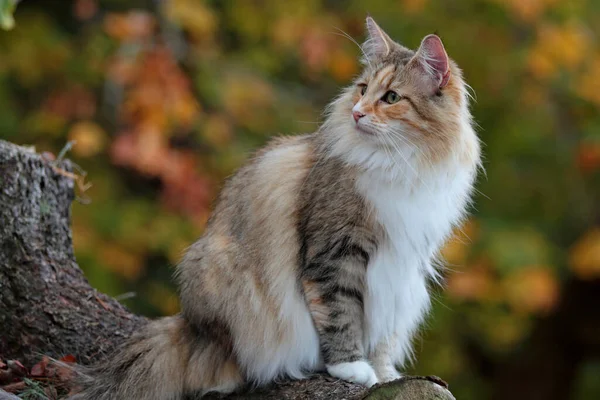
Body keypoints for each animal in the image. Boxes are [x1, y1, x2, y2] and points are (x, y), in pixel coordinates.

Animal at [69, 16, 482, 400]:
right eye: (363, 90)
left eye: (392, 98)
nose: (357, 113)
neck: (403, 163)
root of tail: (191, 327)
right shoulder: (335, 251)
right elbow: (341, 313)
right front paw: (352, 368)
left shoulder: (403, 267)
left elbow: (384, 332)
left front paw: (383, 374)